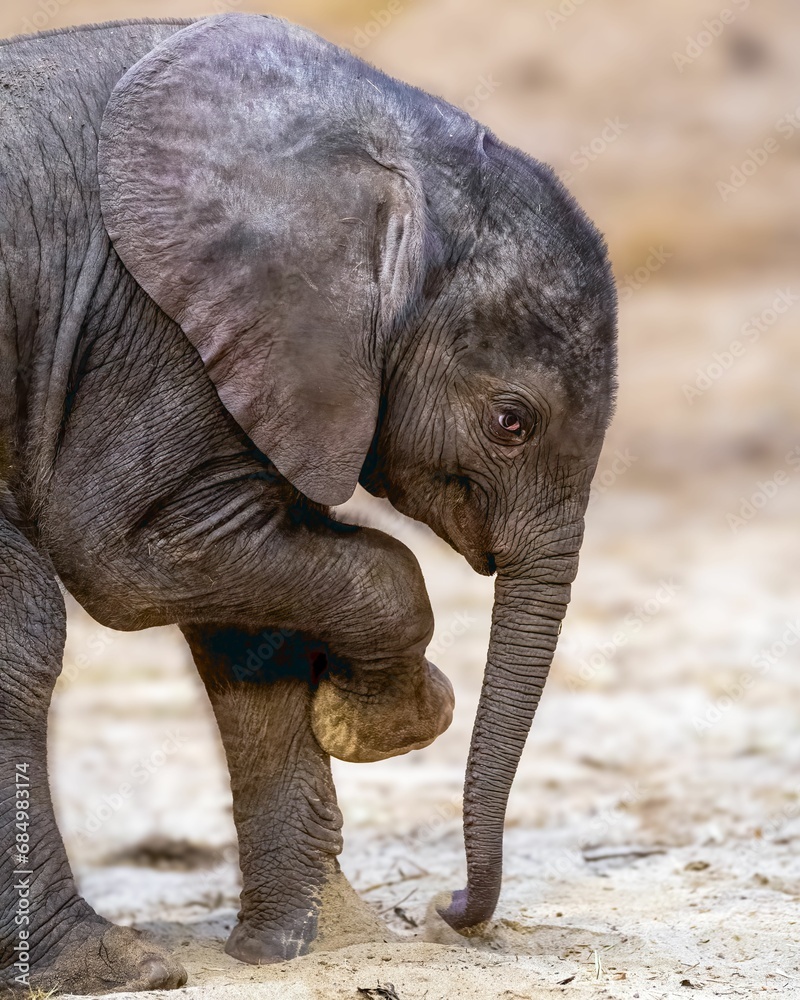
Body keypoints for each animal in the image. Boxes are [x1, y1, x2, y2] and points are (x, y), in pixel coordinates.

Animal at [0, 12, 617, 995]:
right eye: (511, 423)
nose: (449, 910)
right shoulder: (151, 325)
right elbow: (127, 558)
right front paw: (387, 717)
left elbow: (247, 623)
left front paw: (311, 947)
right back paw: (111, 966)